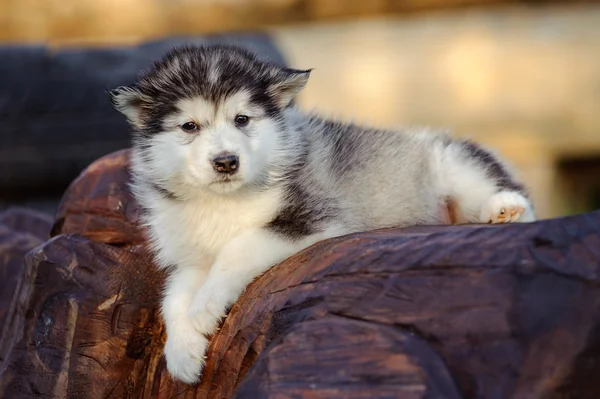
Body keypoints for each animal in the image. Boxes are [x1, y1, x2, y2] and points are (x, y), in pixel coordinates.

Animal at [110, 44, 536, 384]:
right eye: (189, 126)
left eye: (242, 119)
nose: (226, 162)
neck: (221, 202)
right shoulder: (192, 258)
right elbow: (172, 297)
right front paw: (182, 352)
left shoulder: (309, 217)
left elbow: (237, 249)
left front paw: (204, 310)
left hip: (453, 161)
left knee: (514, 200)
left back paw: (505, 208)